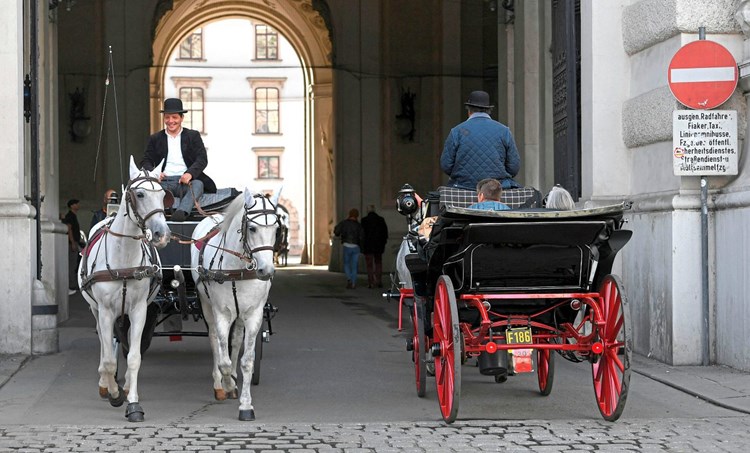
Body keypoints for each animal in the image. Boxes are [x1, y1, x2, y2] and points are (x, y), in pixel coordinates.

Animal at [79, 155, 173, 420]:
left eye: (164, 194)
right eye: (139, 194)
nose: (162, 234)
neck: (123, 260)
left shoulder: (140, 309)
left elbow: (134, 357)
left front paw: (133, 402)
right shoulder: (105, 311)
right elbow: (110, 359)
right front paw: (114, 393)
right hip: (97, 310)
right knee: (105, 344)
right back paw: (105, 382)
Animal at [189, 185, 280, 418]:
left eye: (276, 229)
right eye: (253, 229)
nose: (266, 271)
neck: (237, 268)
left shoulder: (254, 313)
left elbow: (246, 360)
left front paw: (246, 405)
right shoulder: (221, 312)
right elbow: (224, 360)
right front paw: (228, 384)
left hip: (240, 314)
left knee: (237, 339)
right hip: (207, 305)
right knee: (214, 341)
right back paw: (220, 385)